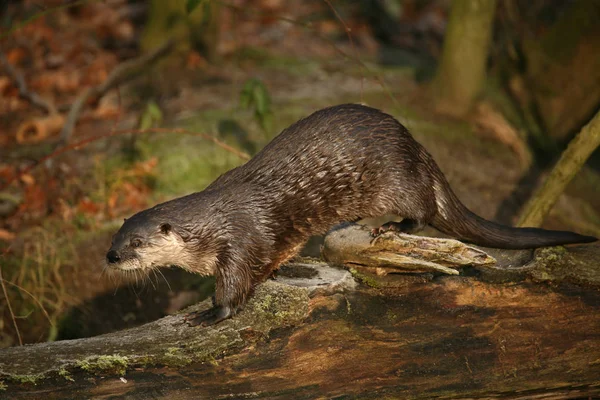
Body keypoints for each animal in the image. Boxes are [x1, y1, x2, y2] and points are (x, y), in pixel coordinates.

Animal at [105, 103, 596, 324]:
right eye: (116, 237)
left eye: (137, 242)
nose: (111, 258)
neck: (213, 223)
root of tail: (417, 147)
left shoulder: (240, 240)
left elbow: (235, 288)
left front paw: (209, 313)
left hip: (395, 180)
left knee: (422, 210)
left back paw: (388, 225)